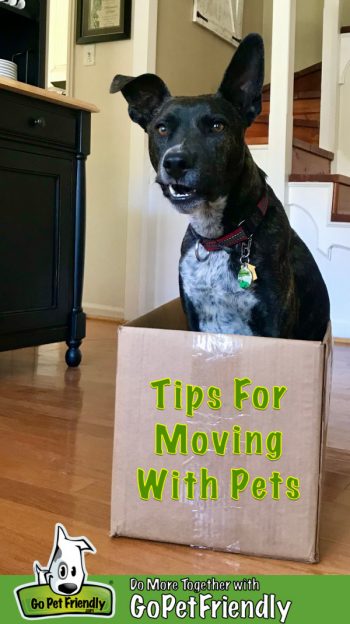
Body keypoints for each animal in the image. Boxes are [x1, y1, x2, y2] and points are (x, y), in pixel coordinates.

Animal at [110, 33, 330, 342]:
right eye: (161, 128)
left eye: (217, 126)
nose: (175, 163)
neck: (220, 237)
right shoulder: (193, 318)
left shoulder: (274, 327)